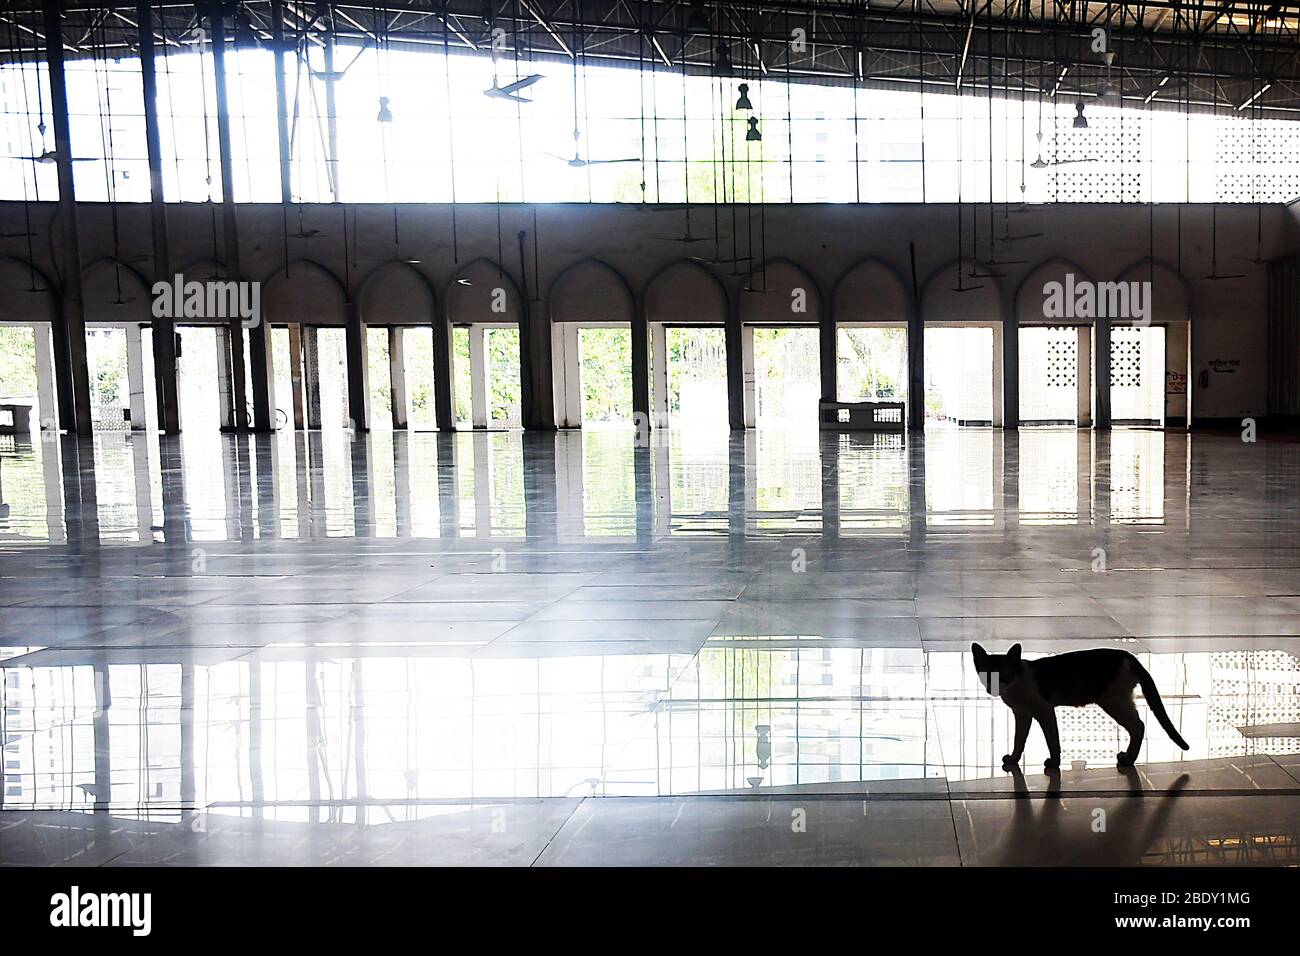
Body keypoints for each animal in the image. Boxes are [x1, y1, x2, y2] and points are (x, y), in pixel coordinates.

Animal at [972, 642, 1190, 770]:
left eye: (1004, 675)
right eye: (986, 675)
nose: (993, 688)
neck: (1014, 686)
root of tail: (1127, 654)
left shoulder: (1044, 710)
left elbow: (1053, 741)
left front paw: (1054, 764)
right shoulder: (1022, 714)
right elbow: (1019, 740)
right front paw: (1013, 760)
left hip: (1113, 702)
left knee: (1139, 726)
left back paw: (1128, 760)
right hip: (1118, 701)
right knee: (1137, 726)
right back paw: (1127, 757)